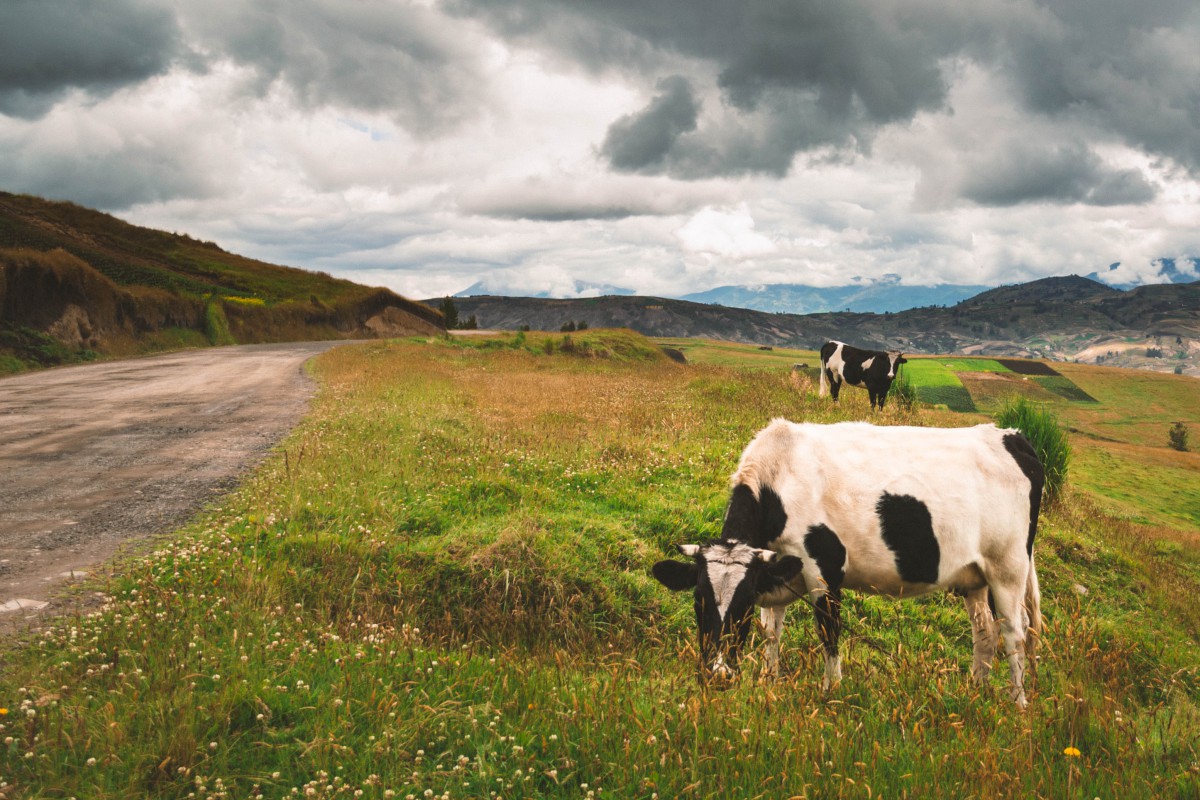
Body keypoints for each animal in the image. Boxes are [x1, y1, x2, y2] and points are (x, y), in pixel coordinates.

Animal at [652, 419, 1046, 705]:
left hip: (1008, 567)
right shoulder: (775, 570)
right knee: (985, 631)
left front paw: (832, 690)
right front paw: (769, 679)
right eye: (698, 599)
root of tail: (1010, 436)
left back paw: (1018, 703)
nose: (717, 675)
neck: (778, 478)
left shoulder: (822, 566)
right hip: (974, 576)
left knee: (1015, 632)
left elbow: (828, 629)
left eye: (743, 604)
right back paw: (976, 691)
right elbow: (772, 631)